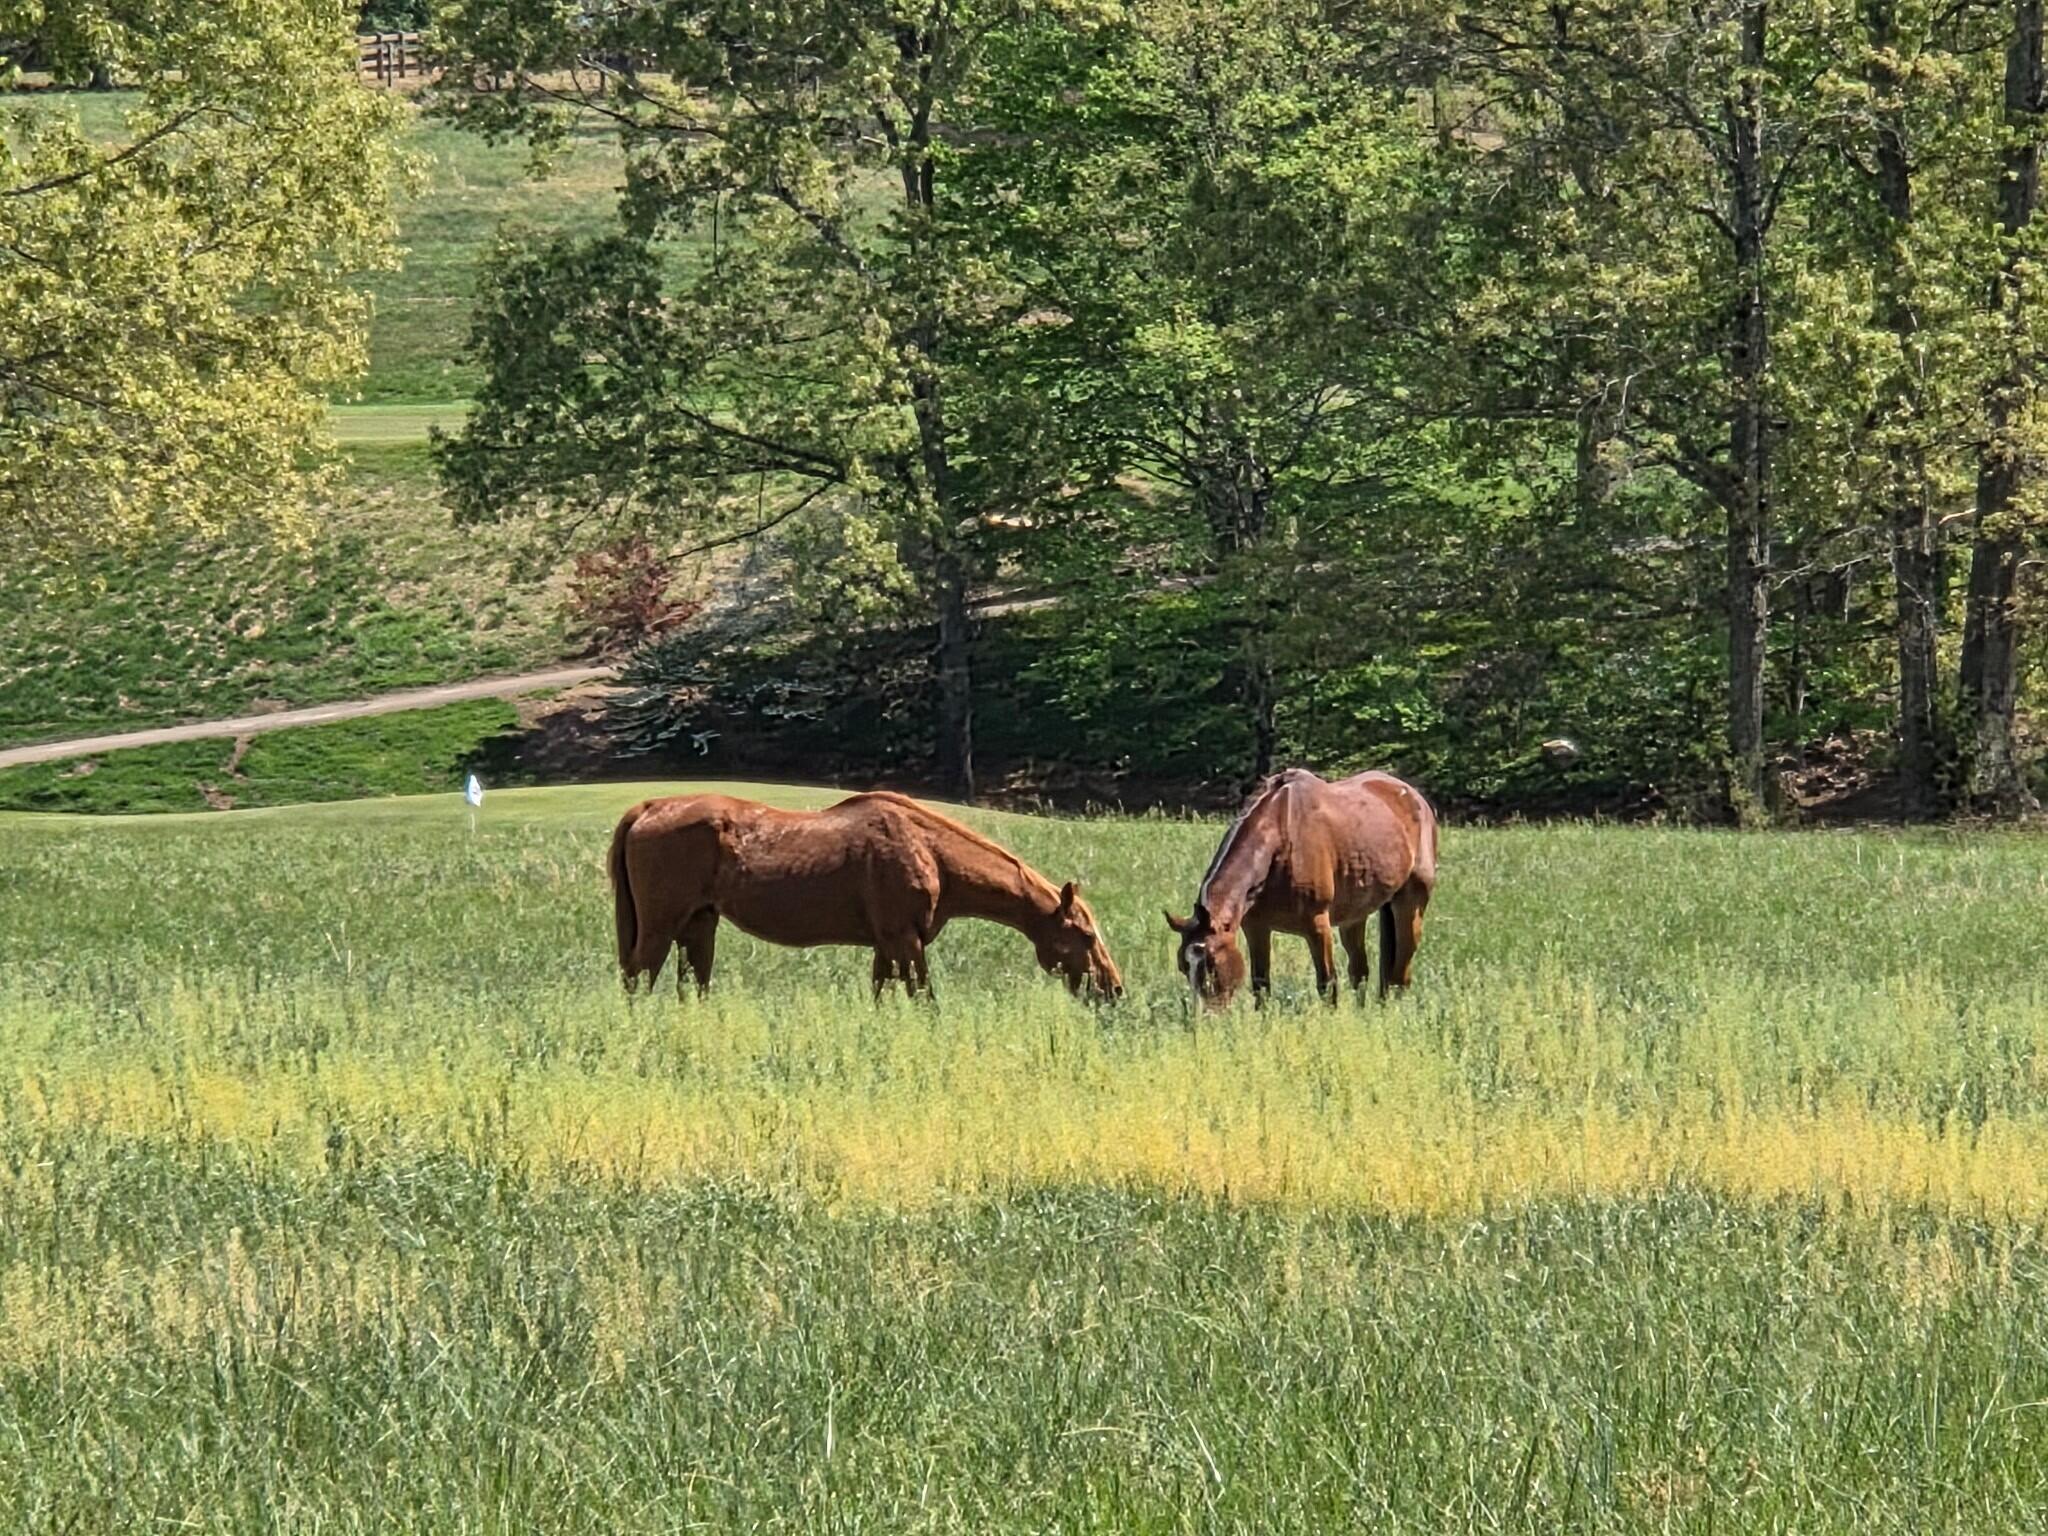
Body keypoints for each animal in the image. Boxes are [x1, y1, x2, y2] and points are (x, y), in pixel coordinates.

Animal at [608, 790, 1124, 1000]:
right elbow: (925, 999)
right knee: (637, 980)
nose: (1113, 989)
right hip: (660, 927)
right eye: (1085, 935)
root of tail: (647, 808)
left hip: (699, 925)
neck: (931, 852)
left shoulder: (886, 945)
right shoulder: (905, 941)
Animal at [1165, 767, 1437, 1007]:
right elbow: (1261, 985)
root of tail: (1415, 798)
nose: (1205, 1017)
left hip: (1411, 904)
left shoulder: (1317, 926)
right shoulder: (1256, 928)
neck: (1282, 840)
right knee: (1360, 973)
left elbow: (1327, 985)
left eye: (1211, 962)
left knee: (1400, 974)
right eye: (1183, 966)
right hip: (1354, 916)